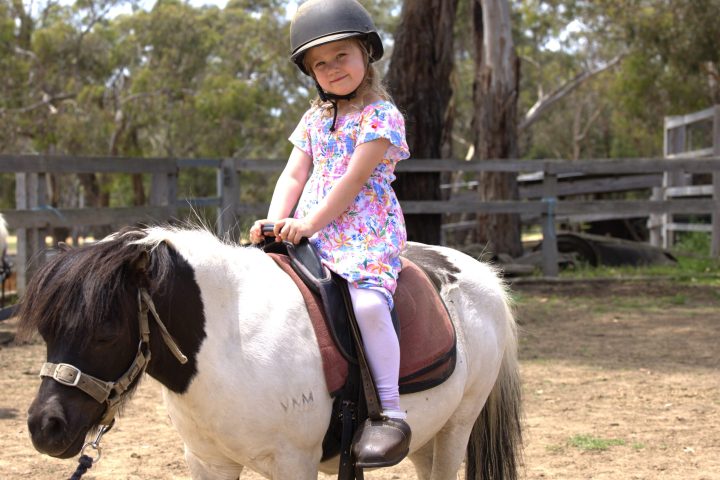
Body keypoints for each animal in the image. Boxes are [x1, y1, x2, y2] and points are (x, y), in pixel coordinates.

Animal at [18, 225, 522, 479]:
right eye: (45, 329)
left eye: (105, 332)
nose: (45, 427)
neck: (230, 339)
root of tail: (484, 275)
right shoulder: (208, 463)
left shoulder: (292, 464)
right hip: (426, 432)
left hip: (458, 425)